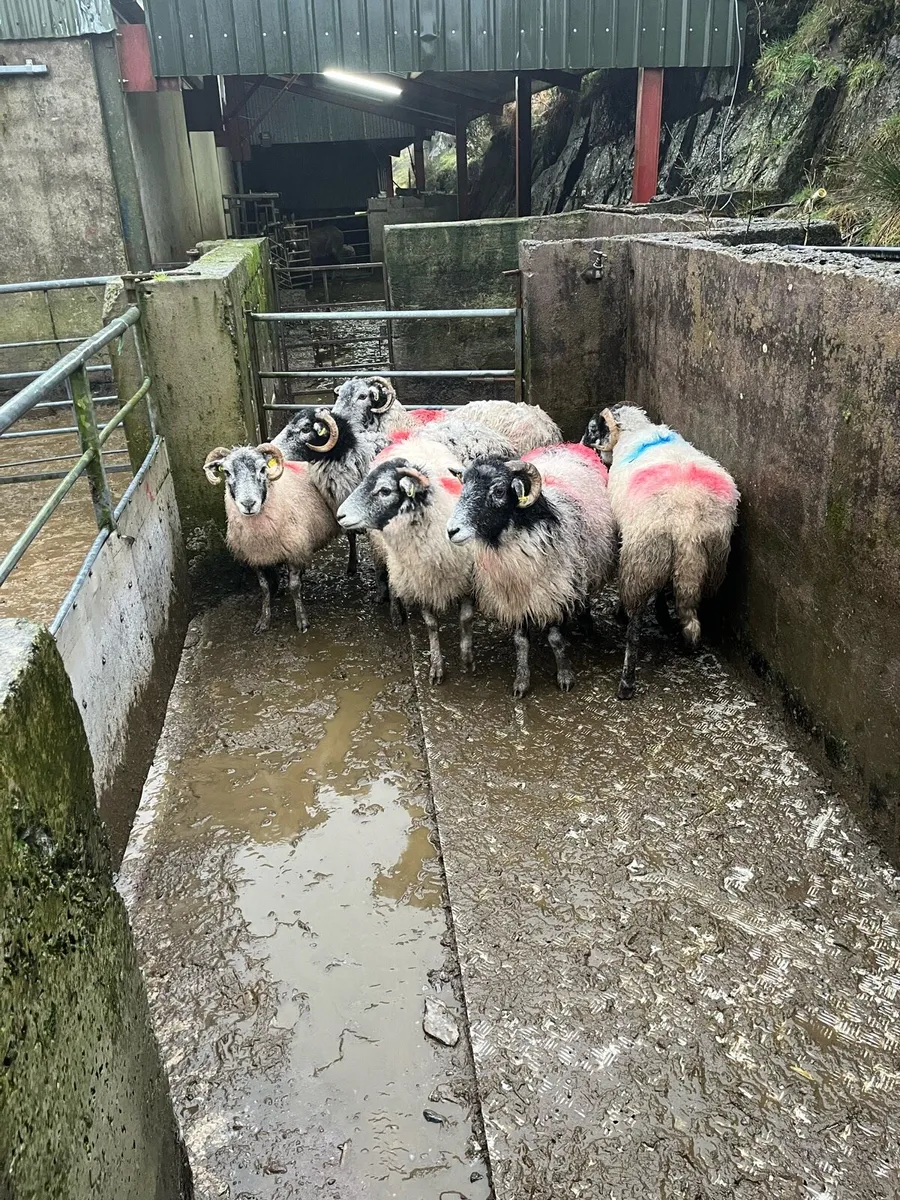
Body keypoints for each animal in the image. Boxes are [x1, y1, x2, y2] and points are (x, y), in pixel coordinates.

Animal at [203, 442, 338, 634]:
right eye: (227, 472)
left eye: (262, 469)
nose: (248, 504)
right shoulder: (256, 556)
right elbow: (264, 588)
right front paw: (264, 619)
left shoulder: (293, 550)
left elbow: (294, 587)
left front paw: (302, 620)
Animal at [336, 434, 475, 686]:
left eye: (384, 490)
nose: (339, 514)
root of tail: (410, 440)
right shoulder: (420, 582)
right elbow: (431, 625)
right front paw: (436, 667)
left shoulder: (467, 578)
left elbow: (466, 619)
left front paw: (467, 658)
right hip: (387, 555)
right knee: (387, 577)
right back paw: (393, 609)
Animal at [446, 443, 617, 698]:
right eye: (463, 484)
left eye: (498, 490)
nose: (451, 531)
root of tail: (567, 446)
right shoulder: (515, 599)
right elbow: (520, 642)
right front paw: (521, 681)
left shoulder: (557, 592)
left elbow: (556, 640)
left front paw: (565, 677)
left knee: (584, 595)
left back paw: (587, 624)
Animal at [583, 406, 739, 701]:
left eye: (592, 429)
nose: (584, 444)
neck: (638, 430)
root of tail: (687, 526)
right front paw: (663, 616)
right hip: (710, 560)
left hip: (642, 560)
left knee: (634, 629)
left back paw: (626, 681)